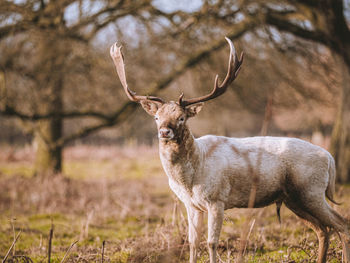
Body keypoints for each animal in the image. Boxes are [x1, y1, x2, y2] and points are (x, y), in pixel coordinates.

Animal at [109, 37, 350, 263]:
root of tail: (329, 158)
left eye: (181, 117)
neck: (189, 178)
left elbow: (211, 242)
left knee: (342, 224)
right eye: (157, 117)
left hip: (311, 189)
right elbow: (193, 242)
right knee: (323, 230)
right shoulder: (191, 205)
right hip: (293, 197)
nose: (164, 131)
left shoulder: (217, 199)